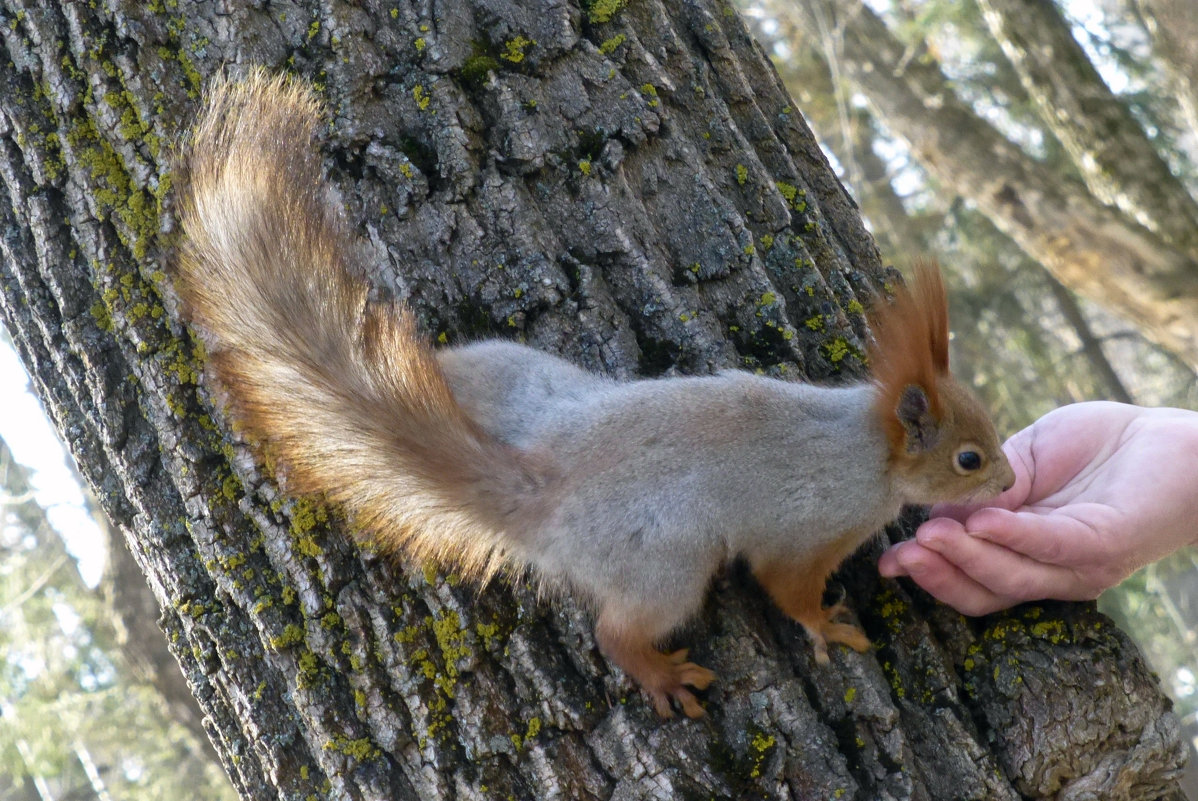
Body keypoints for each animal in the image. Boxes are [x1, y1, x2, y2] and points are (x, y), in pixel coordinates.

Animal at [174, 70, 1020, 718]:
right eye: (969, 458)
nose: (1012, 481)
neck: (867, 446)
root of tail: (545, 489)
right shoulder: (807, 526)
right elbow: (789, 587)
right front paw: (829, 628)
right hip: (667, 559)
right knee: (619, 631)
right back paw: (663, 674)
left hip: (522, 378)